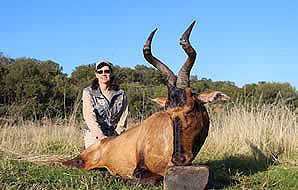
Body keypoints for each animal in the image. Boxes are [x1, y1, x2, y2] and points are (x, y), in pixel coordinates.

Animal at [63, 20, 210, 184]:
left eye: (191, 107)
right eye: (168, 113)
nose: (178, 159)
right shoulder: (140, 168)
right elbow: (149, 178)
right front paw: (116, 176)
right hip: (81, 160)